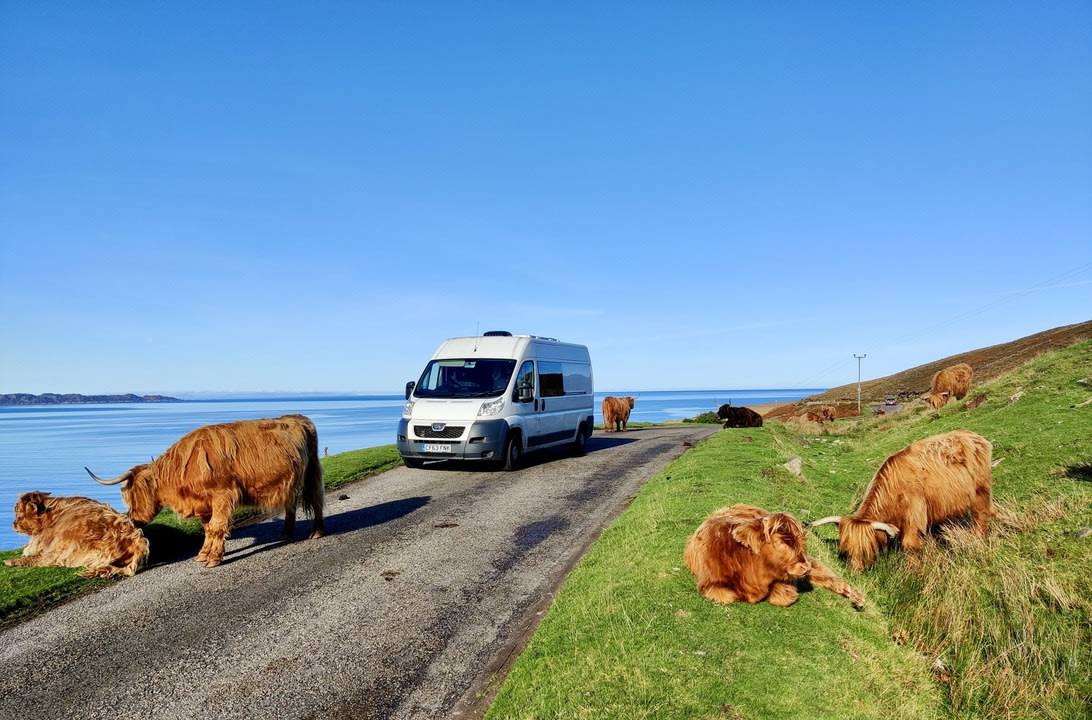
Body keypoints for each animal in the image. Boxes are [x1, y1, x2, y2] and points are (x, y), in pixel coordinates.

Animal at [86, 414, 324, 568]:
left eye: (130, 495)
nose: (132, 519)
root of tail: (298, 418)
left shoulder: (222, 495)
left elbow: (217, 527)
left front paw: (214, 558)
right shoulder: (203, 503)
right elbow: (208, 529)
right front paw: (203, 554)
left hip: (312, 472)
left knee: (316, 500)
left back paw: (316, 532)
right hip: (290, 480)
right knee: (291, 502)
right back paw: (285, 533)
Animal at [684, 504, 863, 609]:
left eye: (800, 541)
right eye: (781, 542)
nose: (804, 566)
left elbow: (783, 594)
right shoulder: (710, 584)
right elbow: (728, 596)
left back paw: (856, 597)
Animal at [811, 430, 992, 571]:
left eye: (866, 551)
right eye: (846, 552)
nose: (856, 572)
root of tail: (973, 435)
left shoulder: (914, 517)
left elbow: (910, 546)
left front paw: (914, 572)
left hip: (980, 492)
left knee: (981, 516)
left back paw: (979, 540)